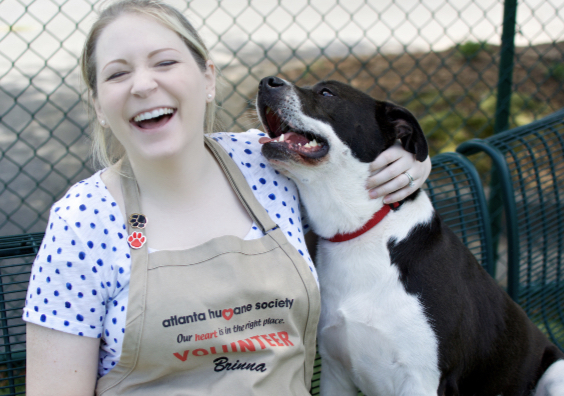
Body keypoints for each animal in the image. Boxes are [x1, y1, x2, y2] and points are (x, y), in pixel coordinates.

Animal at [256, 76, 564, 396]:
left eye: (327, 93)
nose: (267, 82)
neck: (360, 232)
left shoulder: (422, 380)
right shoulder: (334, 372)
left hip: (556, 372)